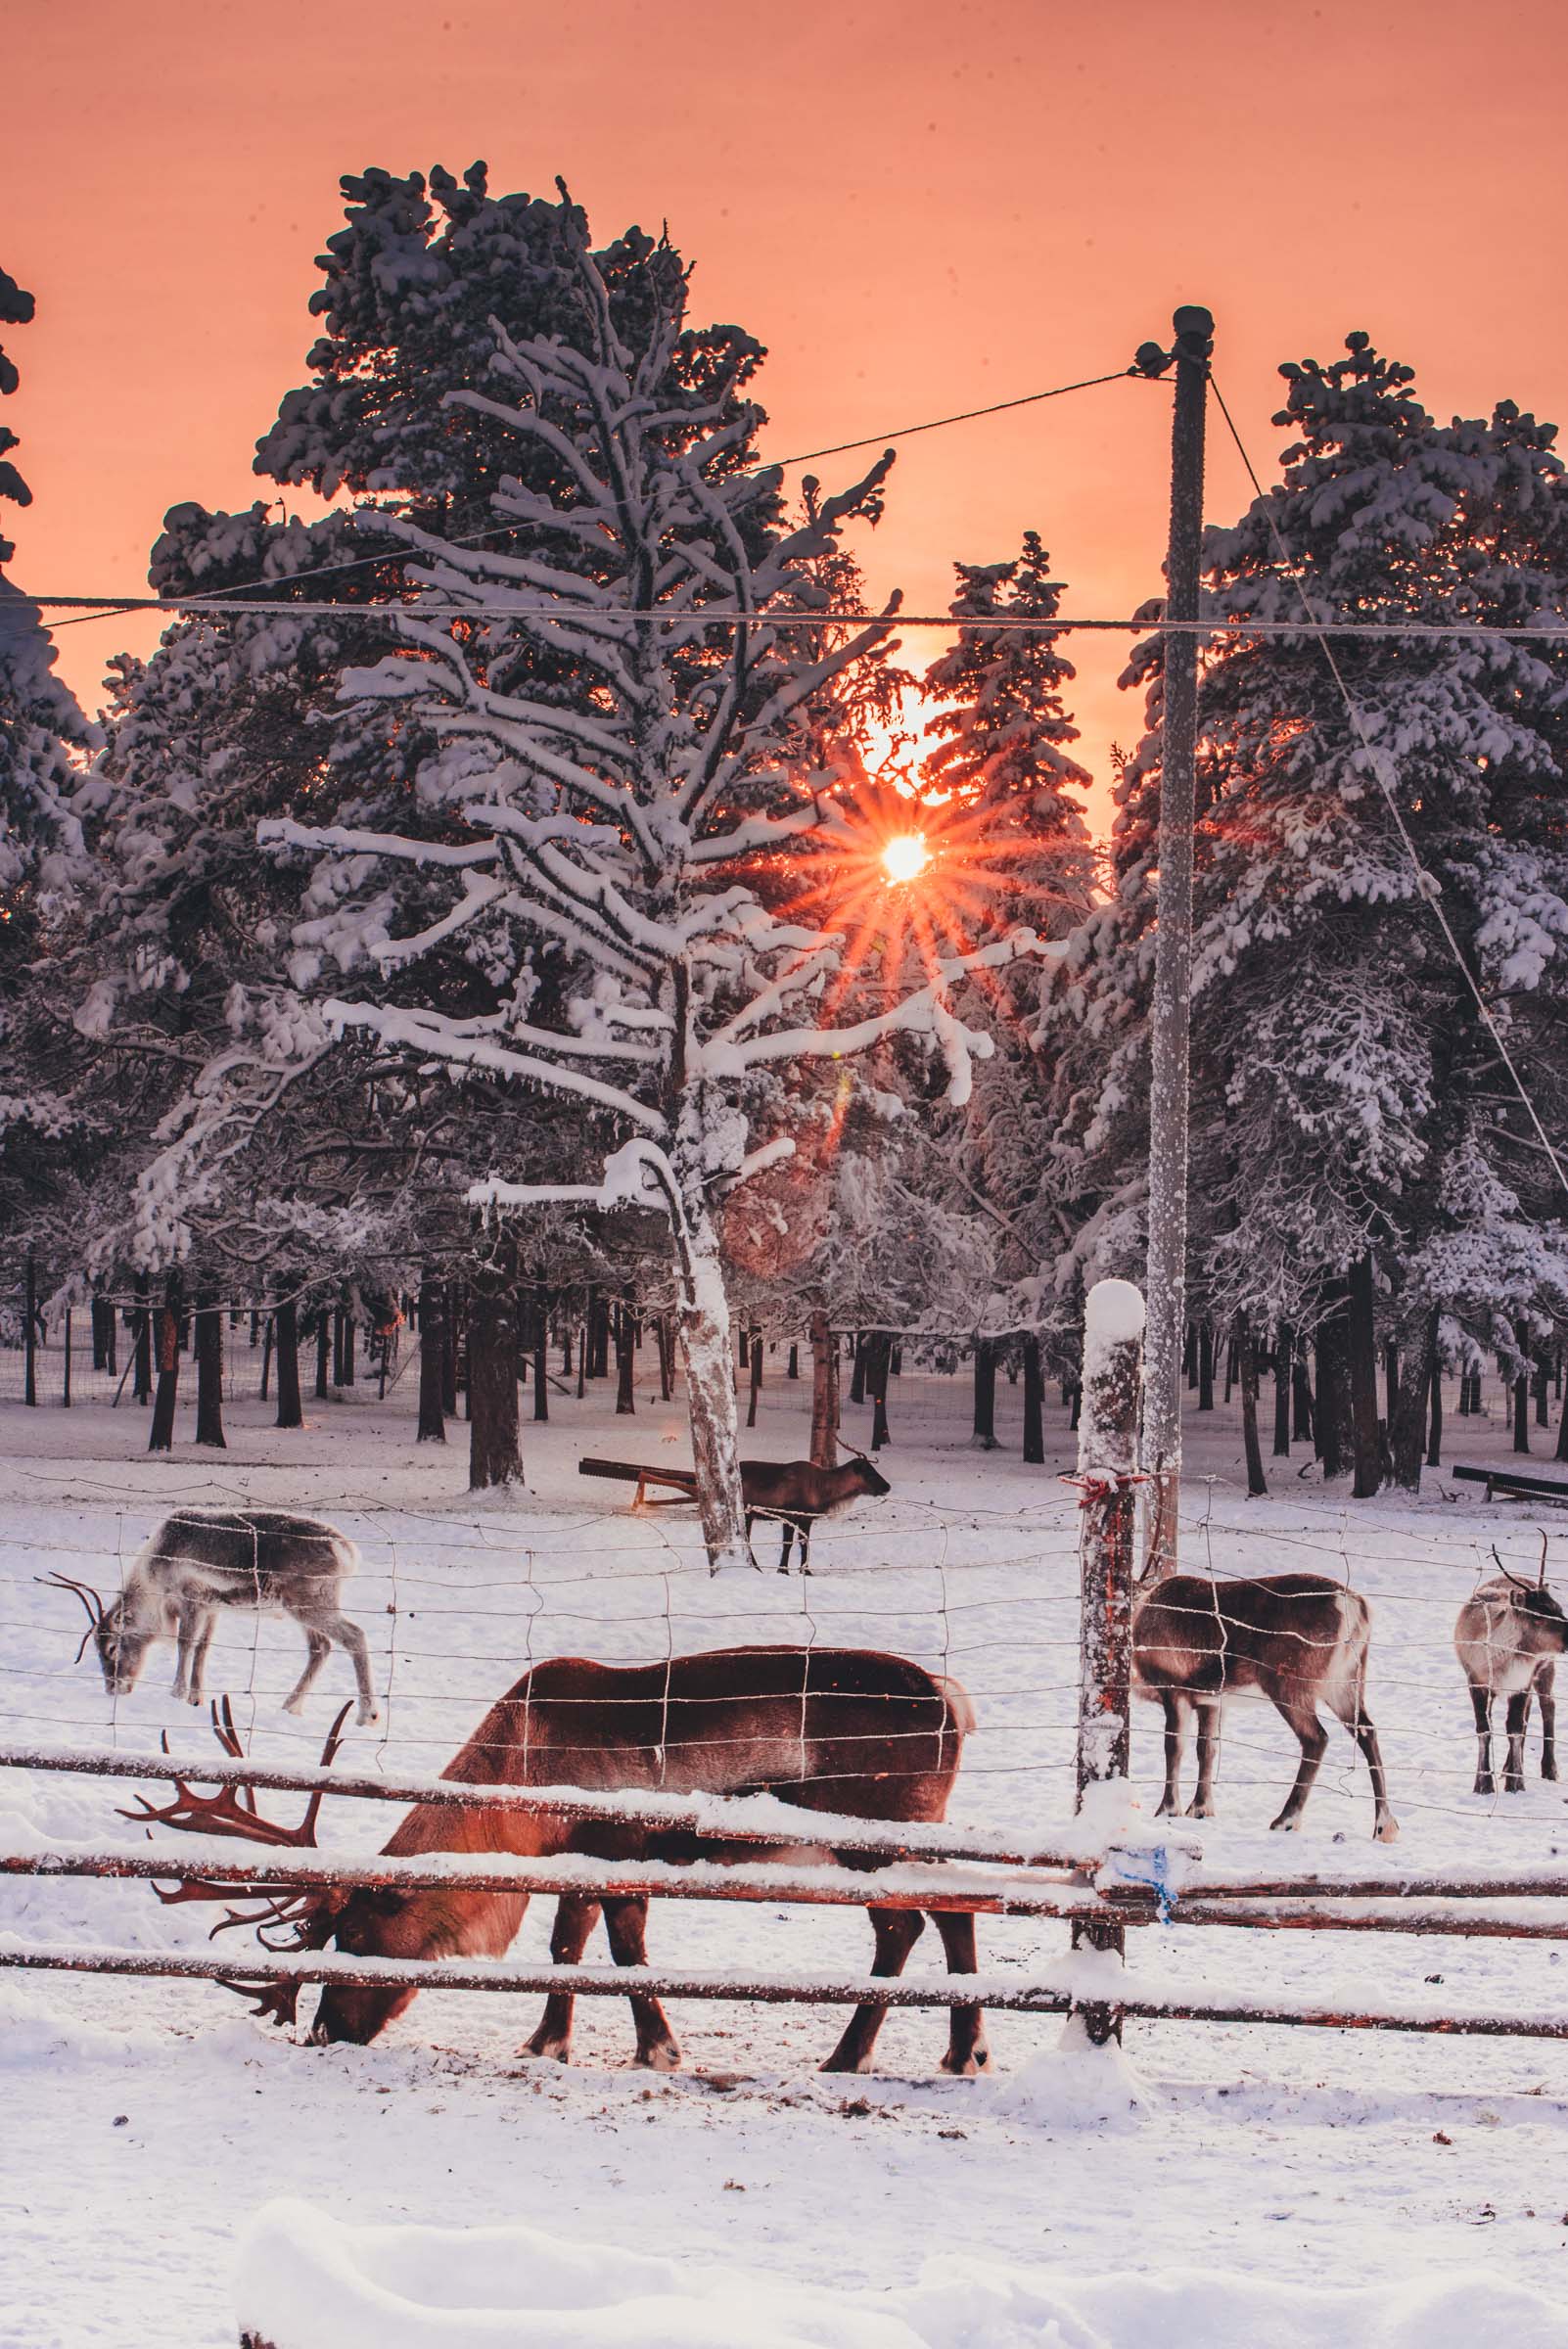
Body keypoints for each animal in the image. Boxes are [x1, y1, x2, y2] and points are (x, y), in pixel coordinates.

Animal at [39, 1506, 378, 1726]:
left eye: (111, 1647)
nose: (113, 1688)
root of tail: (346, 1550)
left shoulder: (190, 1600)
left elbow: (185, 1644)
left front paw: (176, 1694)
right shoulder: (212, 1609)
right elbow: (203, 1648)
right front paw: (196, 1698)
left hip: (309, 1603)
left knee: (355, 1635)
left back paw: (367, 1715)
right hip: (303, 1609)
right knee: (321, 1647)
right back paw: (289, 1707)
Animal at [132, 1645, 987, 2077]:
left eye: (356, 1940)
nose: (324, 2033)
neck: (517, 1785)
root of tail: (952, 1701)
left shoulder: (614, 1850)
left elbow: (622, 1952)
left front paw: (657, 2049)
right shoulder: (580, 1857)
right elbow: (566, 1948)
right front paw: (548, 2041)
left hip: (868, 1837)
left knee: (905, 1926)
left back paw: (848, 2056)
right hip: (912, 1832)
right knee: (957, 1909)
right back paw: (963, 2049)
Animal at [1133, 1564, 1399, 1841]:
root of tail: (1355, 1605)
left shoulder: (1173, 1687)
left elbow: (1174, 1747)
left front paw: (1168, 1809)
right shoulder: (1211, 1699)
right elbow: (1207, 1749)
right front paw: (1200, 1808)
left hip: (1289, 1683)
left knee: (1316, 1737)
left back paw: (1286, 1819)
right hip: (1345, 1681)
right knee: (1367, 1731)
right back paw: (1384, 1825)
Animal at [1454, 1538, 1567, 1794]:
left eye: (1559, 1609)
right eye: (1537, 1616)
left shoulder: (1520, 1684)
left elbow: (1514, 1728)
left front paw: (1516, 1783)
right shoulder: (1476, 1681)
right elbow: (1484, 1728)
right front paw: (1483, 1783)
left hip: (1546, 1666)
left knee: (1547, 1706)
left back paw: (1549, 1769)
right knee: (1530, 1713)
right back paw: (1506, 1768)